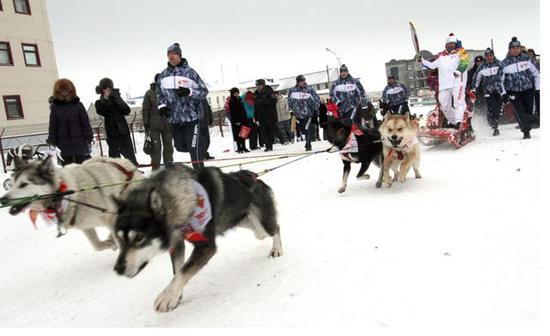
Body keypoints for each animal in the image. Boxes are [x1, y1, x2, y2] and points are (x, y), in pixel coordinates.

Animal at [0, 157, 142, 249]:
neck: (64, 194)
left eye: (23, 184)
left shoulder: (110, 218)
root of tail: (127, 164)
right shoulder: (86, 227)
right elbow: (97, 245)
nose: (3, 199)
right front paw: (109, 243)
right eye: (12, 184)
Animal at [112, 165, 284, 312]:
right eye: (119, 238)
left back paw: (277, 249)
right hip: (249, 225)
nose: (118, 268)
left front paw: (167, 297)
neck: (180, 197)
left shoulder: (206, 247)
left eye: (139, 237)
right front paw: (176, 295)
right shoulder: (176, 244)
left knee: (276, 227)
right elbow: (178, 270)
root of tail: (256, 178)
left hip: (263, 227)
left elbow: (183, 271)